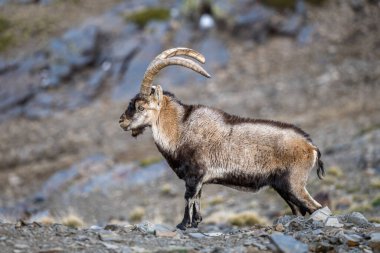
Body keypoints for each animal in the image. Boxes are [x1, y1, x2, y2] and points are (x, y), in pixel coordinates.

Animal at [120, 47, 326, 229]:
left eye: (140, 107)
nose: (122, 121)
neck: (181, 130)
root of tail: (311, 146)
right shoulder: (198, 179)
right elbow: (197, 199)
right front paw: (195, 223)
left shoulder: (194, 175)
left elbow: (188, 198)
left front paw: (183, 225)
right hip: (282, 187)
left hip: (294, 183)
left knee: (315, 207)